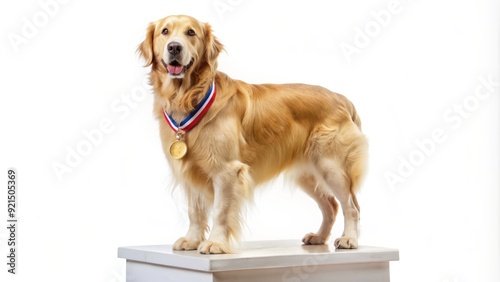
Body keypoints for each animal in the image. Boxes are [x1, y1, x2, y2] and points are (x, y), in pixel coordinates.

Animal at [139, 14, 370, 254]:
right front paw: (191, 240)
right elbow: (195, 210)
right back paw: (319, 236)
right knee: (331, 206)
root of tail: (342, 99)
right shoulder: (190, 169)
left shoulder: (227, 171)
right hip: (308, 174)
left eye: (191, 32)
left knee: (351, 206)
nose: (174, 47)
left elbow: (221, 211)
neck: (188, 97)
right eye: (165, 31)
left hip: (331, 167)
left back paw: (349, 239)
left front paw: (216, 242)